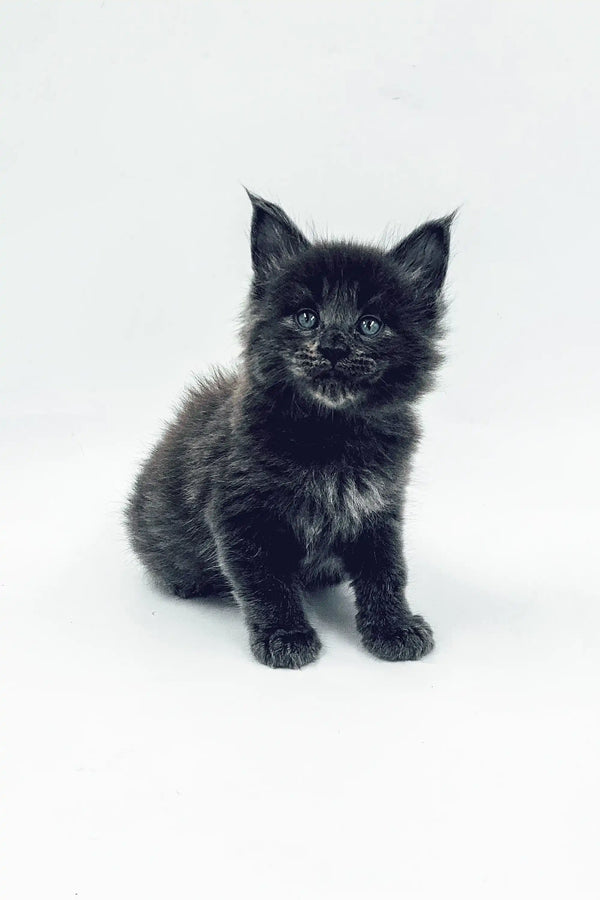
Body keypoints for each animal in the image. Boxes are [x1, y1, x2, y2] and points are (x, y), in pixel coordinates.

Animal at [127, 192, 454, 668]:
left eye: (369, 324)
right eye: (306, 318)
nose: (334, 346)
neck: (332, 435)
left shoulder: (379, 509)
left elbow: (387, 572)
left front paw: (392, 626)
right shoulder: (242, 515)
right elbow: (267, 585)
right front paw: (285, 635)